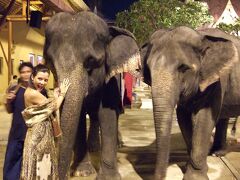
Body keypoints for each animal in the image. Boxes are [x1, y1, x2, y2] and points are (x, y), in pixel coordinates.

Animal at [44, 11, 141, 180]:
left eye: (90, 61)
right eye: (50, 62)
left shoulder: (110, 80)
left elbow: (107, 114)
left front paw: (108, 177)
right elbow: (79, 117)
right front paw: (82, 172)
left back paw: (115, 144)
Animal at [141, 26, 240, 179]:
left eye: (183, 68)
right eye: (148, 68)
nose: (160, 176)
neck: (200, 36)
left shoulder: (216, 80)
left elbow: (205, 117)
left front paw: (195, 176)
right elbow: (183, 116)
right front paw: (192, 167)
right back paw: (217, 153)